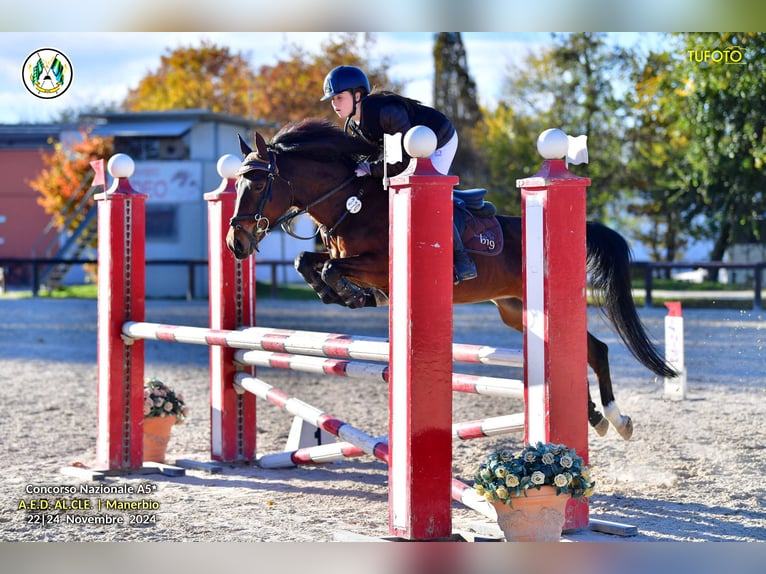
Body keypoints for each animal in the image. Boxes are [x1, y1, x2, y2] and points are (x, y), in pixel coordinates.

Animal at [228, 117, 680, 440]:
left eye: (258, 183)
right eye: (238, 183)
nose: (236, 243)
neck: (349, 203)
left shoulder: (379, 264)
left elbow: (326, 267)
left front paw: (350, 294)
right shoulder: (342, 255)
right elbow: (305, 260)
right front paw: (343, 295)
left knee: (592, 350)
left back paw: (616, 418)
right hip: (518, 310)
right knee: (584, 350)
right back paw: (595, 416)